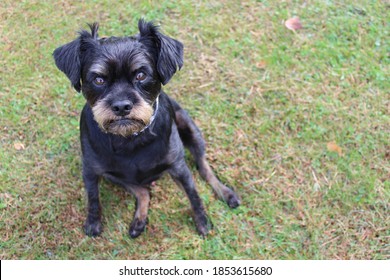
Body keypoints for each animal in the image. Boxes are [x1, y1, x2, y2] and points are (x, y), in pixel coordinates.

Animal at [53, 19, 239, 238]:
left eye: (141, 75)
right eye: (99, 79)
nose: (121, 106)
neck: (129, 138)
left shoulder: (178, 166)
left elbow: (193, 194)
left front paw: (202, 220)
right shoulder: (91, 170)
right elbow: (93, 198)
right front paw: (93, 223)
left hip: (191, 129)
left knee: (203, 167)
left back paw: (225, 192)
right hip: (114, 176)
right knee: (143, 192)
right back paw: (139, 219)